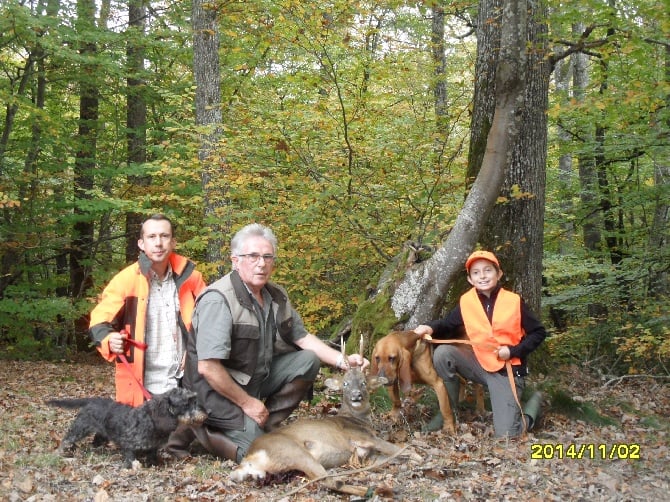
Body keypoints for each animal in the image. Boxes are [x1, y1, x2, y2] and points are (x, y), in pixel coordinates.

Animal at [48, 388, 206, 466]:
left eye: (195, 399)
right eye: (186, 403)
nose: (206, 413)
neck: (151, 420)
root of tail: (91, 400)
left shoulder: (153, 447)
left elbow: (152, 456)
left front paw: (154, 464)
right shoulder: (129, 445)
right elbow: (130, 458)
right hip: (80, 428)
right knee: (66, 439)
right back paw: (58, 453)